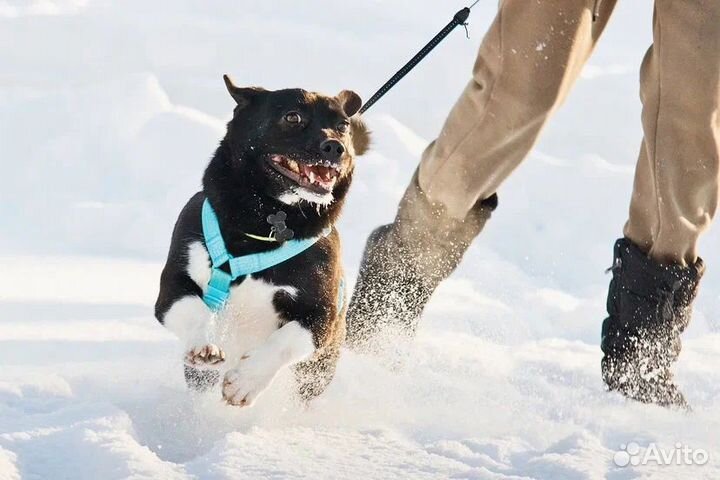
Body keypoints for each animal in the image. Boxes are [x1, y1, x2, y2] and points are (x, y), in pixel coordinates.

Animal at [155, 74, 368, 404]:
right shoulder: (173, 286)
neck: (267, 219)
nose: (336, 147)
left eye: (344, 125)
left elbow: (286, 341)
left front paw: (245, 381)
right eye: (293, 117)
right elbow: (194, 309)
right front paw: (203, 345)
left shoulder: (322, 316)